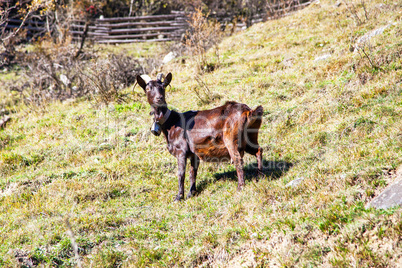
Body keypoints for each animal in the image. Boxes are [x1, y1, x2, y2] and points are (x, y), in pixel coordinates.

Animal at [138, 72, 264, 200]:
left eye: (163, 87)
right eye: (148, 88)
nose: (159, 98)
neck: (171, 122)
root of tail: (248, 111)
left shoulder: (181, 150)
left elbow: (181, 173)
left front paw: (179, 197)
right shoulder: (194, 154)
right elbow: (192, 173)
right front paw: (191, 193)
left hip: (231, 139)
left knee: (238, 159)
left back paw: (240, 187)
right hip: (250, 137)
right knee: (258, 150)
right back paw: (259, 176)